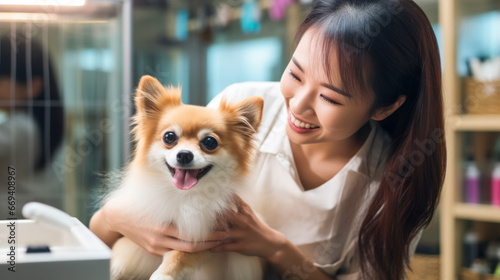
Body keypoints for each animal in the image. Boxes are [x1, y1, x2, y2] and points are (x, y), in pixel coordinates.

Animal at [106, 75, 266, 280]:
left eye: (209, 142)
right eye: (169, 137)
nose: (184, 154)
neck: (184, 195)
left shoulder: (206, 238)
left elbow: (180, 257)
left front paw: (162, 275)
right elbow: (121, 255)